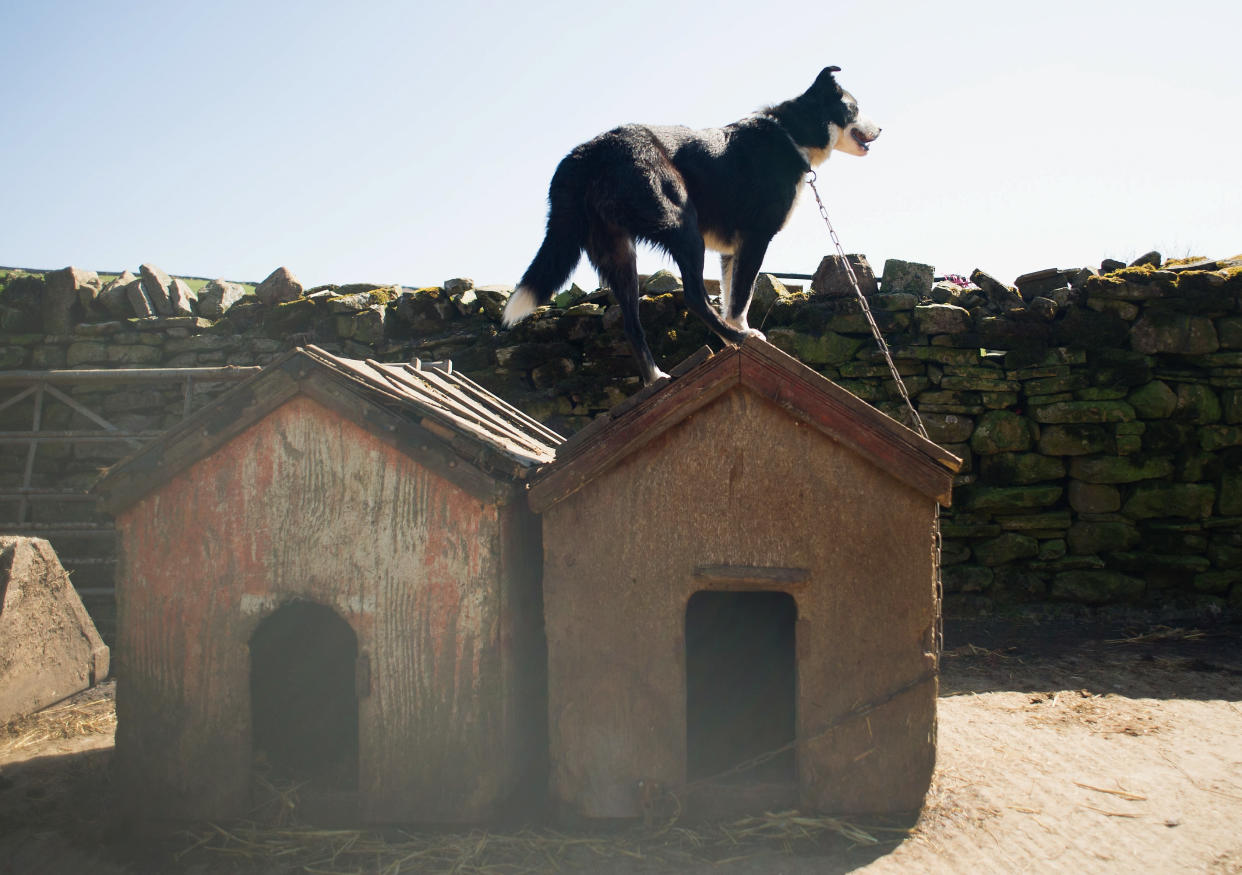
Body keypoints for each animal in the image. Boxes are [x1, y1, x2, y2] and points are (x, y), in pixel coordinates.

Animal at [499, 66, 879, 384]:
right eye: (855, 107)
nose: (881, 129)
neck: (791, 133)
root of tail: (587, 153)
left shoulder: (730, 252)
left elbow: (732, 298)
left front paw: (731, 335)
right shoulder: (756, 237)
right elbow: (741, 297)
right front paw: (740, 335)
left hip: (617, 253)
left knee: (632, 323)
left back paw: (657, 377)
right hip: (683, 225)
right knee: (694, 296)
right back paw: (738, 339)